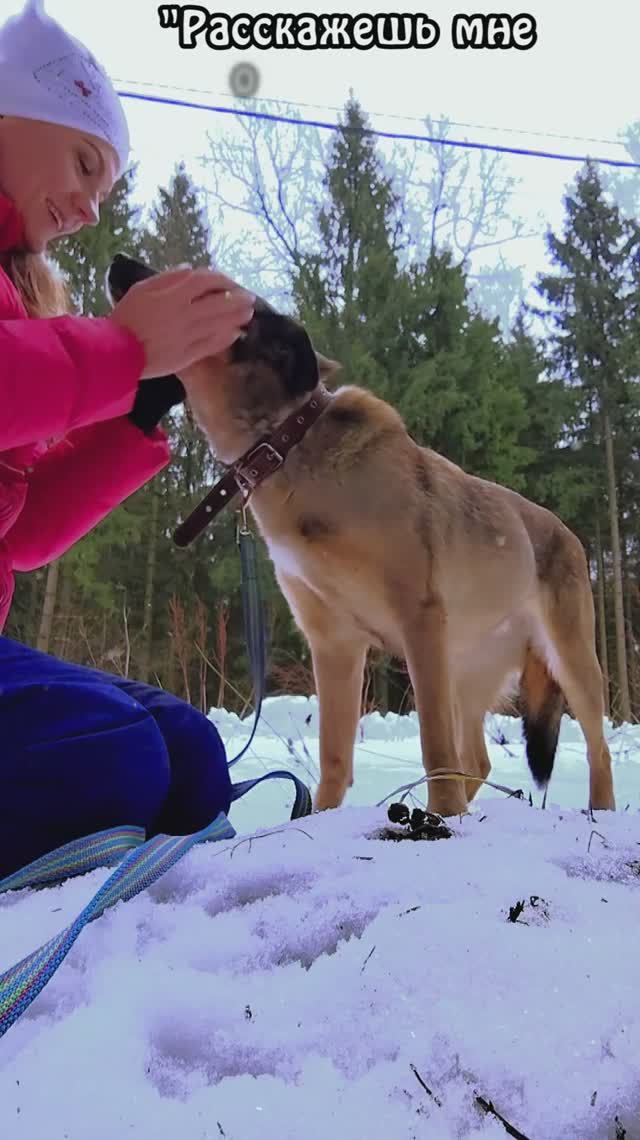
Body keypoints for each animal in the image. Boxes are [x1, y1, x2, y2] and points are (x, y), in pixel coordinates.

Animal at [108, 256, 616, 820]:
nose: (120, 262)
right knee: (479, 759)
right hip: (465, 671)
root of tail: (567, 533)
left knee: (596, 749)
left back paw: (595, 810)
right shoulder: (333, 641)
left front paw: (442, 818)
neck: (284, 443)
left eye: (201, 285)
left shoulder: (417, 620)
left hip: (570, 661)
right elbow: (334, 753)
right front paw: (321, 819)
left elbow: (434, 744)